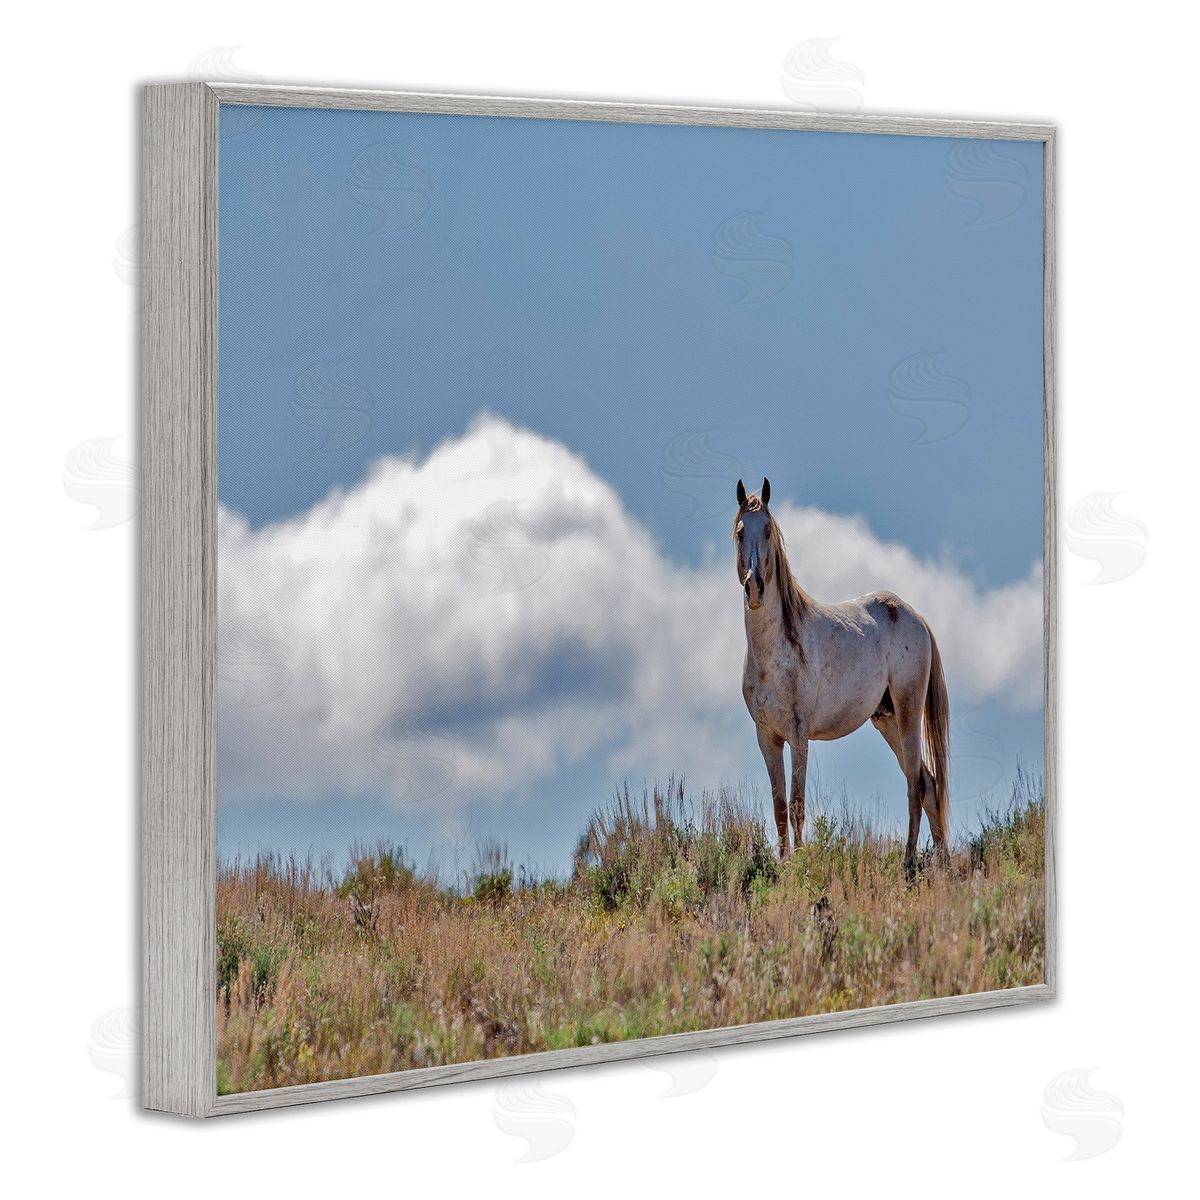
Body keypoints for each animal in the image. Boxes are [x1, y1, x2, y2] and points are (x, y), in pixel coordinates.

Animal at [733, 478, 950, 878]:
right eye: (741, 532)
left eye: (768, 530)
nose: (754, 588)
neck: (774, 651)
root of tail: (914, 616)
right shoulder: (767, 738)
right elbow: (779, 806)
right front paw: (784, 866)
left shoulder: (799, 736)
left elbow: (797, 804)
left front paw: (799, 866)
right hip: (887, 721)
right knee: (928, 784)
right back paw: (941, 864)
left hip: (908, 715)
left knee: (915, 784)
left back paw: (909, 863)